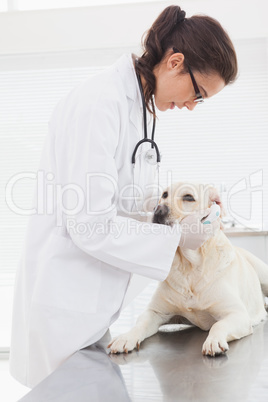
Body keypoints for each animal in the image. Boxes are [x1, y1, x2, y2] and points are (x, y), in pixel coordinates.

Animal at [107, 182, 268, 354]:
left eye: (188, 197)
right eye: (164, 194)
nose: (158, 209)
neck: (188, 266)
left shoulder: (237, 314)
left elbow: (219, 324)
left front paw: (214, 340)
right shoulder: (154, 312)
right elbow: (140, 324)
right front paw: (126, 337)